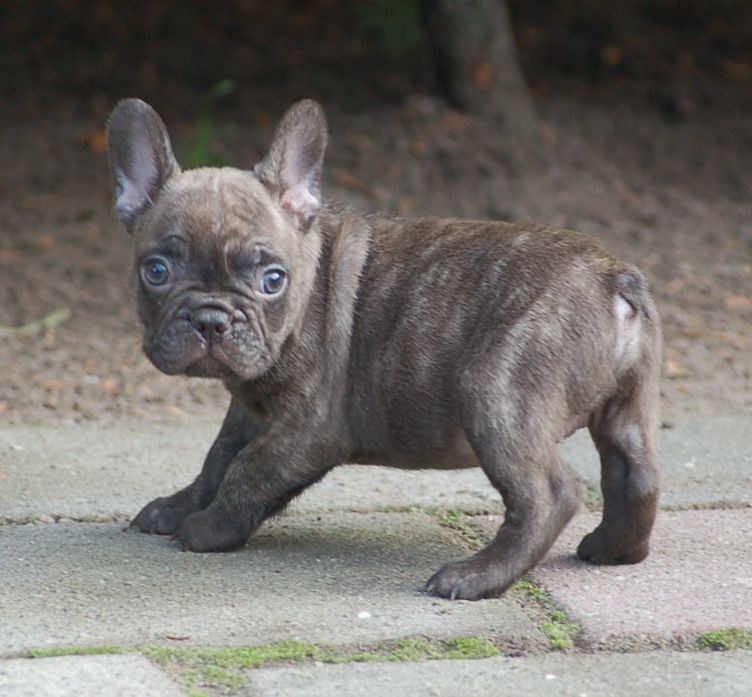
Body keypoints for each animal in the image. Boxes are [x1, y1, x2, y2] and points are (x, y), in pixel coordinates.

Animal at [107, 98, 664, 600]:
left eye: (272, 280)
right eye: (156, 271)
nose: (211, 318)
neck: (310, 280)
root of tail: (611, 278)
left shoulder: (306, 429)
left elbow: (249, 470)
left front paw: (208, 529)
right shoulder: (250, 410)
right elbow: (217, 460)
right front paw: (178, 507)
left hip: (497, 392)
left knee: (550, 495)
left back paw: (476, 577)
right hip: (624, 405)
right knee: (634, 473)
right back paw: (611, 550)